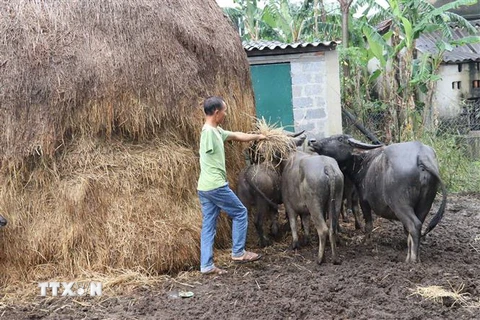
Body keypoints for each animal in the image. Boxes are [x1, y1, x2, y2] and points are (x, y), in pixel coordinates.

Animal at [310, 135, 448, 262]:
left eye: (339, 138)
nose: (312, 141)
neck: (365, 162)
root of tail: (421, 156)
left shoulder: (364, 201)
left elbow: (368, 224)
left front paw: (365, 241)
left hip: (400, 204)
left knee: (414, 225)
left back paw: (412, 259)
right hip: (425, 205)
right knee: (415, 226)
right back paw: (413, 256)